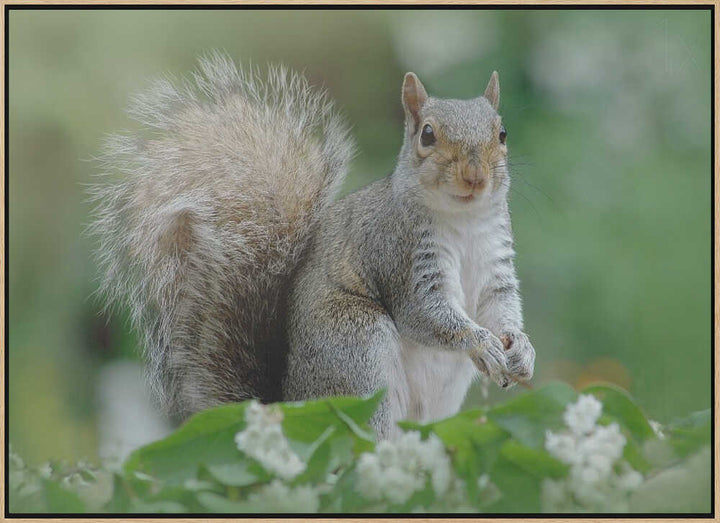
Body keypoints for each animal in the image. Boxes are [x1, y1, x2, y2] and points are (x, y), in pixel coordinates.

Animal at [90, 53, 535, 438]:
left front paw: (522, 350)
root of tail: (289, 406)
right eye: (427, 134)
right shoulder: (399, 253)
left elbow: (500, 307)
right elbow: (425, 314)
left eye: (502, 133)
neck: (463, 222)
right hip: (355, 349)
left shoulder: (495, 265)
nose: (475, 177)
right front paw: (481, 343)